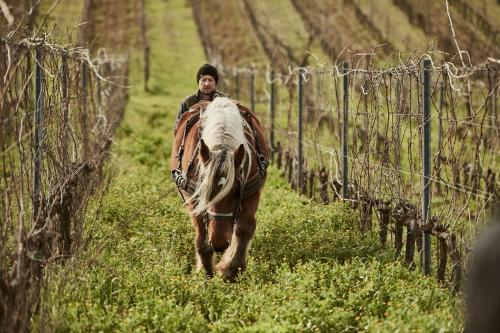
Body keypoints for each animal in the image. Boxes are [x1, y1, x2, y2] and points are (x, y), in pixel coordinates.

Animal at [171, 97, 270, 278]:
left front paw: (231, 270)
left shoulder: (252, 191)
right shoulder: (192, 197)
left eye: (236, 192)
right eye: (204, 192)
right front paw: (206, 272)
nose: (219, 244)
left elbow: (244, 228)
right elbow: (201, 235)